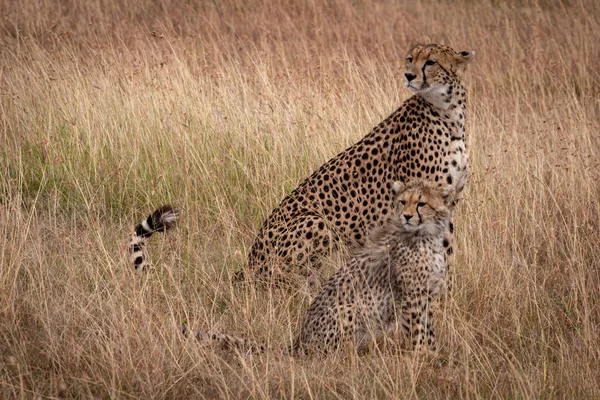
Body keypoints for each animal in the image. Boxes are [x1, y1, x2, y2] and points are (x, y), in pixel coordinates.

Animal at [185, 180, 458, 354]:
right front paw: (422, 357)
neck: (427, 235)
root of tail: (300, 341)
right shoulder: (410, 295)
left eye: (421, 203)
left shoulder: (425, 294)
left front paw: (433, 354)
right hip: (350, 306)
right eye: (402, 202)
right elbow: (417, 329)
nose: (407, 216)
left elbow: (427, 328)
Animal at [241, 43, 472, 282]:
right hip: (315, 222)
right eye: (410, 59)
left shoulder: (447, 200)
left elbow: (445, 246)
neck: (449, 114)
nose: (408, 76)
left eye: (430, 62)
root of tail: (247, 263)